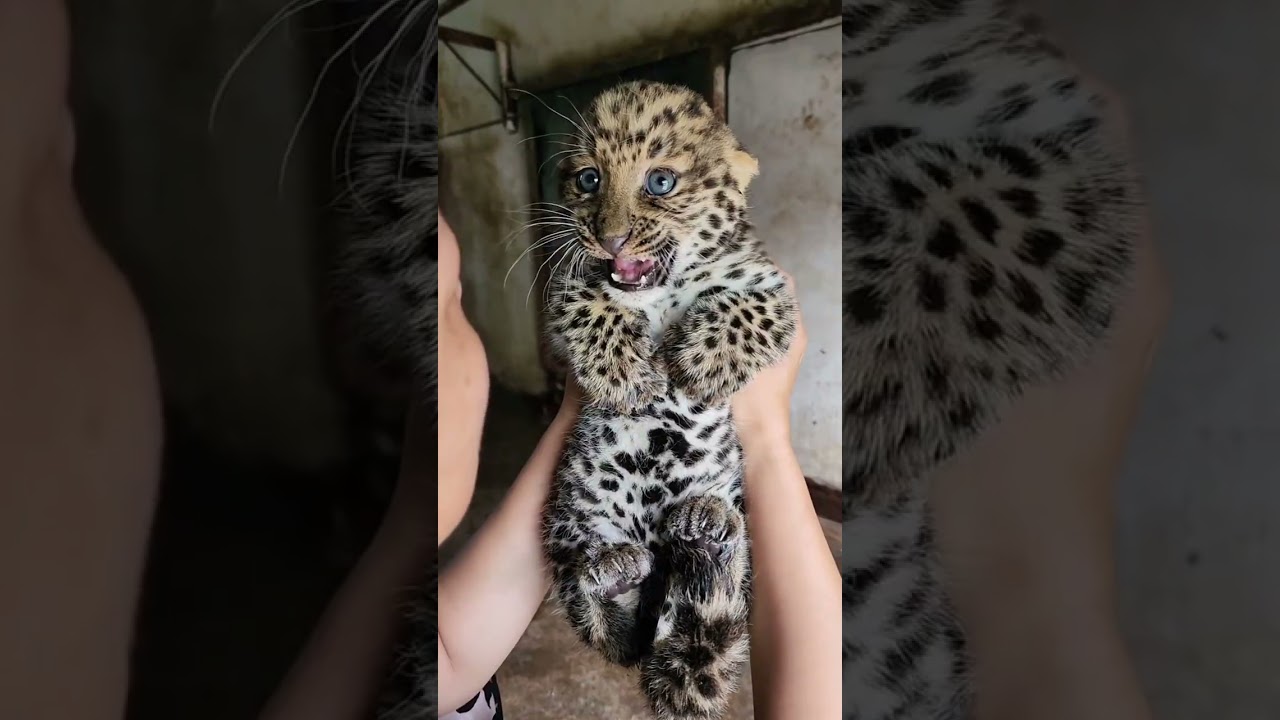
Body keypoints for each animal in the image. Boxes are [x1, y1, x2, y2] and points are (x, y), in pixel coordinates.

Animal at [540, 80, 798, 720]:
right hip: (570, 521)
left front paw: (698, 365)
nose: (609, 238)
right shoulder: (567, 283)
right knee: (606, 625)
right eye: (588, 180)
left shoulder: (774, 289)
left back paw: (706, 533)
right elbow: (587, 302)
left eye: (660, 182)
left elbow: (747, 311)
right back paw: (614, 572)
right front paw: (630, 376)